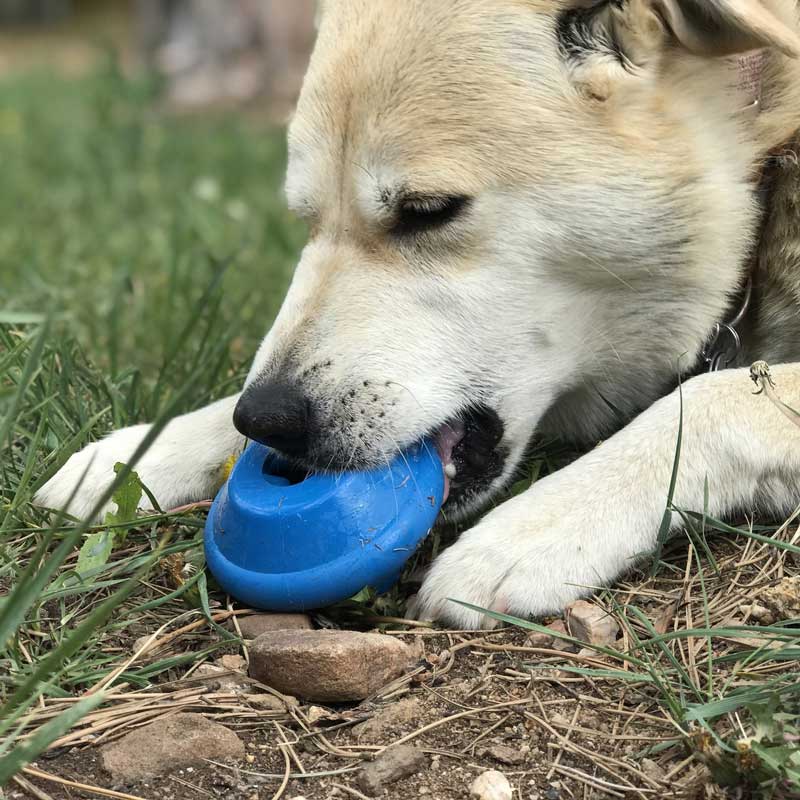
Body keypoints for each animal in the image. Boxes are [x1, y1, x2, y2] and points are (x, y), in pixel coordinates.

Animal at [36, 0, 800, 632]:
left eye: (427, 211)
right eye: (305, 220)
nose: (267, 421)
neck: (767, 165)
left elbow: (713, 397)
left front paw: (532, 530)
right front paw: (140, 455)